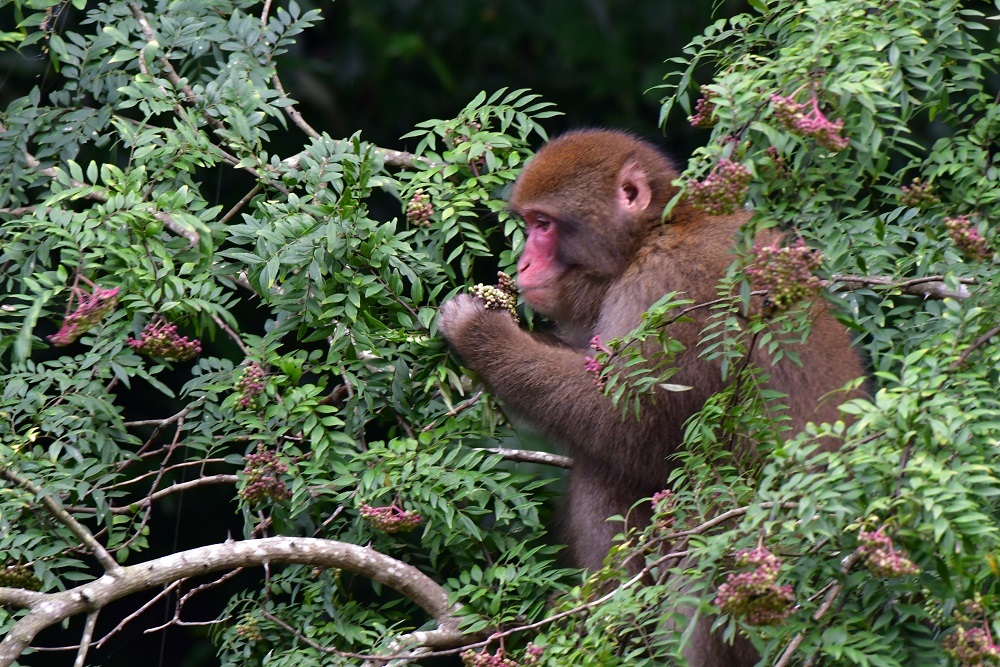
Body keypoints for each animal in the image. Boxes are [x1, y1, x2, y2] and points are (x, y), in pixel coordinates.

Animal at [438, 128, 868, 664]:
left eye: (543, 224)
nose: (524, 262)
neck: (654, 232)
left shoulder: (666, 288)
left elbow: (625, 421)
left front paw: (480, 332)